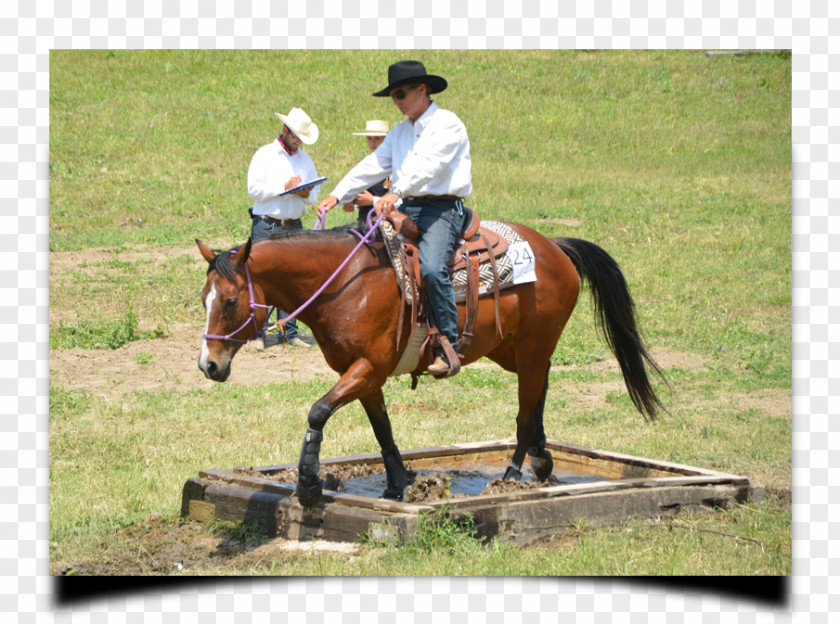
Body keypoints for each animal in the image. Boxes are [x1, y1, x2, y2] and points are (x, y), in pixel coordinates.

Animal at [197, 221, 668, 508]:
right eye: (204, 299)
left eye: (232, 301)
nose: (209, 366)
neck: (347, 284)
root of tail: (556, 247)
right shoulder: (364, 374)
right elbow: (382, 429)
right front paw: (396, 485)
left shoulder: (367, 367)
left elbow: (317, 410)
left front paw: (309, 483)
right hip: (514, 349)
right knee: (541, 389)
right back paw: (542, 458)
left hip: (533, 347)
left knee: (525, 407)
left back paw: (513, 472)